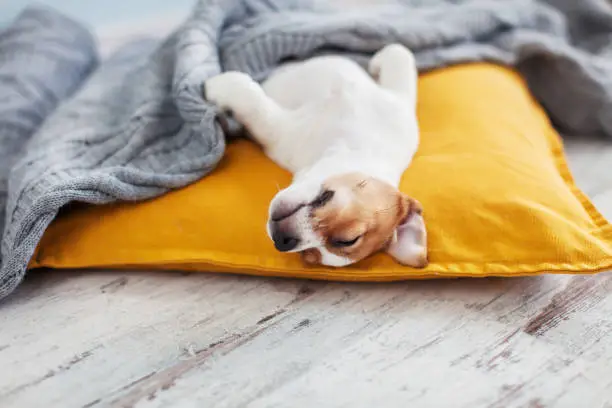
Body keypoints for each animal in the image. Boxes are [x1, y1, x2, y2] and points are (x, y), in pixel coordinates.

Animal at [206, 43, 426, 268]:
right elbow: (400, 54)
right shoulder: (398, 104)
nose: (283, 241)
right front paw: (378, 61)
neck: (358, 144)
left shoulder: (280, 130)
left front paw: (218, 85)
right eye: (349, 239)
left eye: (307, 255)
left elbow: (253, 102)